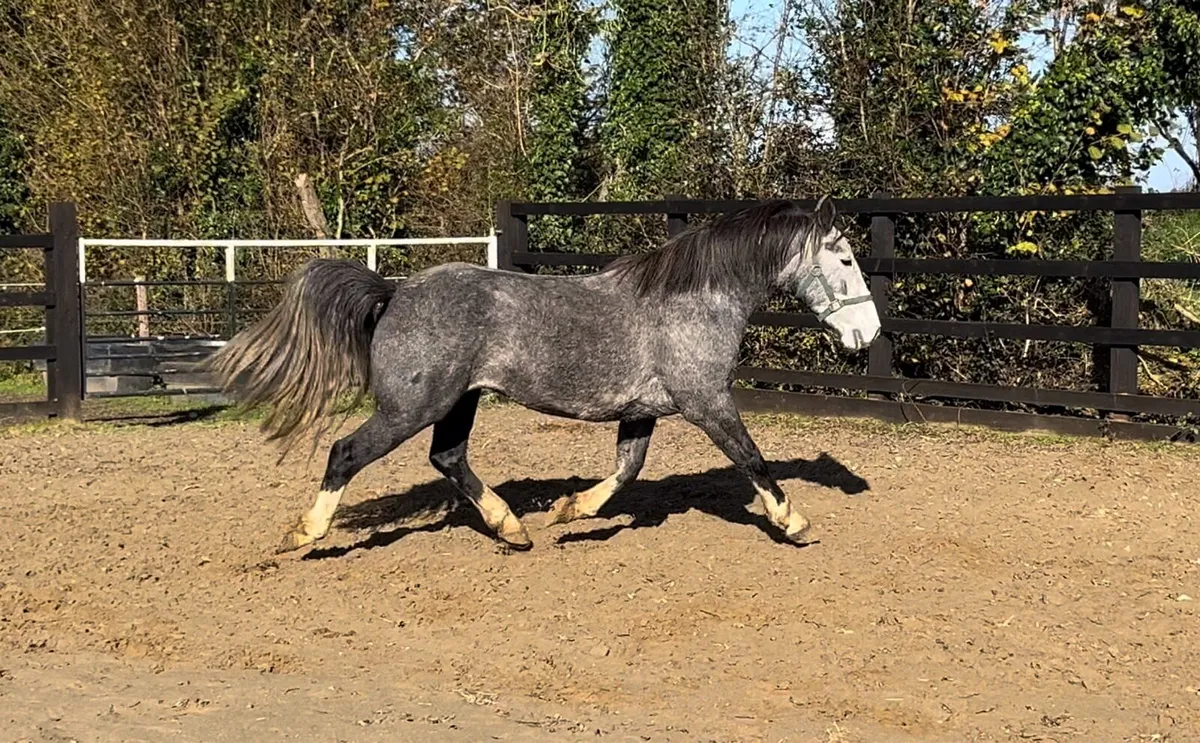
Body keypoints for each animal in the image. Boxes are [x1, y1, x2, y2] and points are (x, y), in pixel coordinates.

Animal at [207, 196, 881, 554]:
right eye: (847, 259)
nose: (868, 335)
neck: (694, 300)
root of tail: (394, 292)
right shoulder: (706, 401)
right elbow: (752, 459)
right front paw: (794, 522)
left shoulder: (642, 410)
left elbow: (627, 470)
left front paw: (567, 512)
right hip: (411, 407)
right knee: (346, 452)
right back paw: (305, 533)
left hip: (460, 402)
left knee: (448, 459)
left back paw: (512, 529)